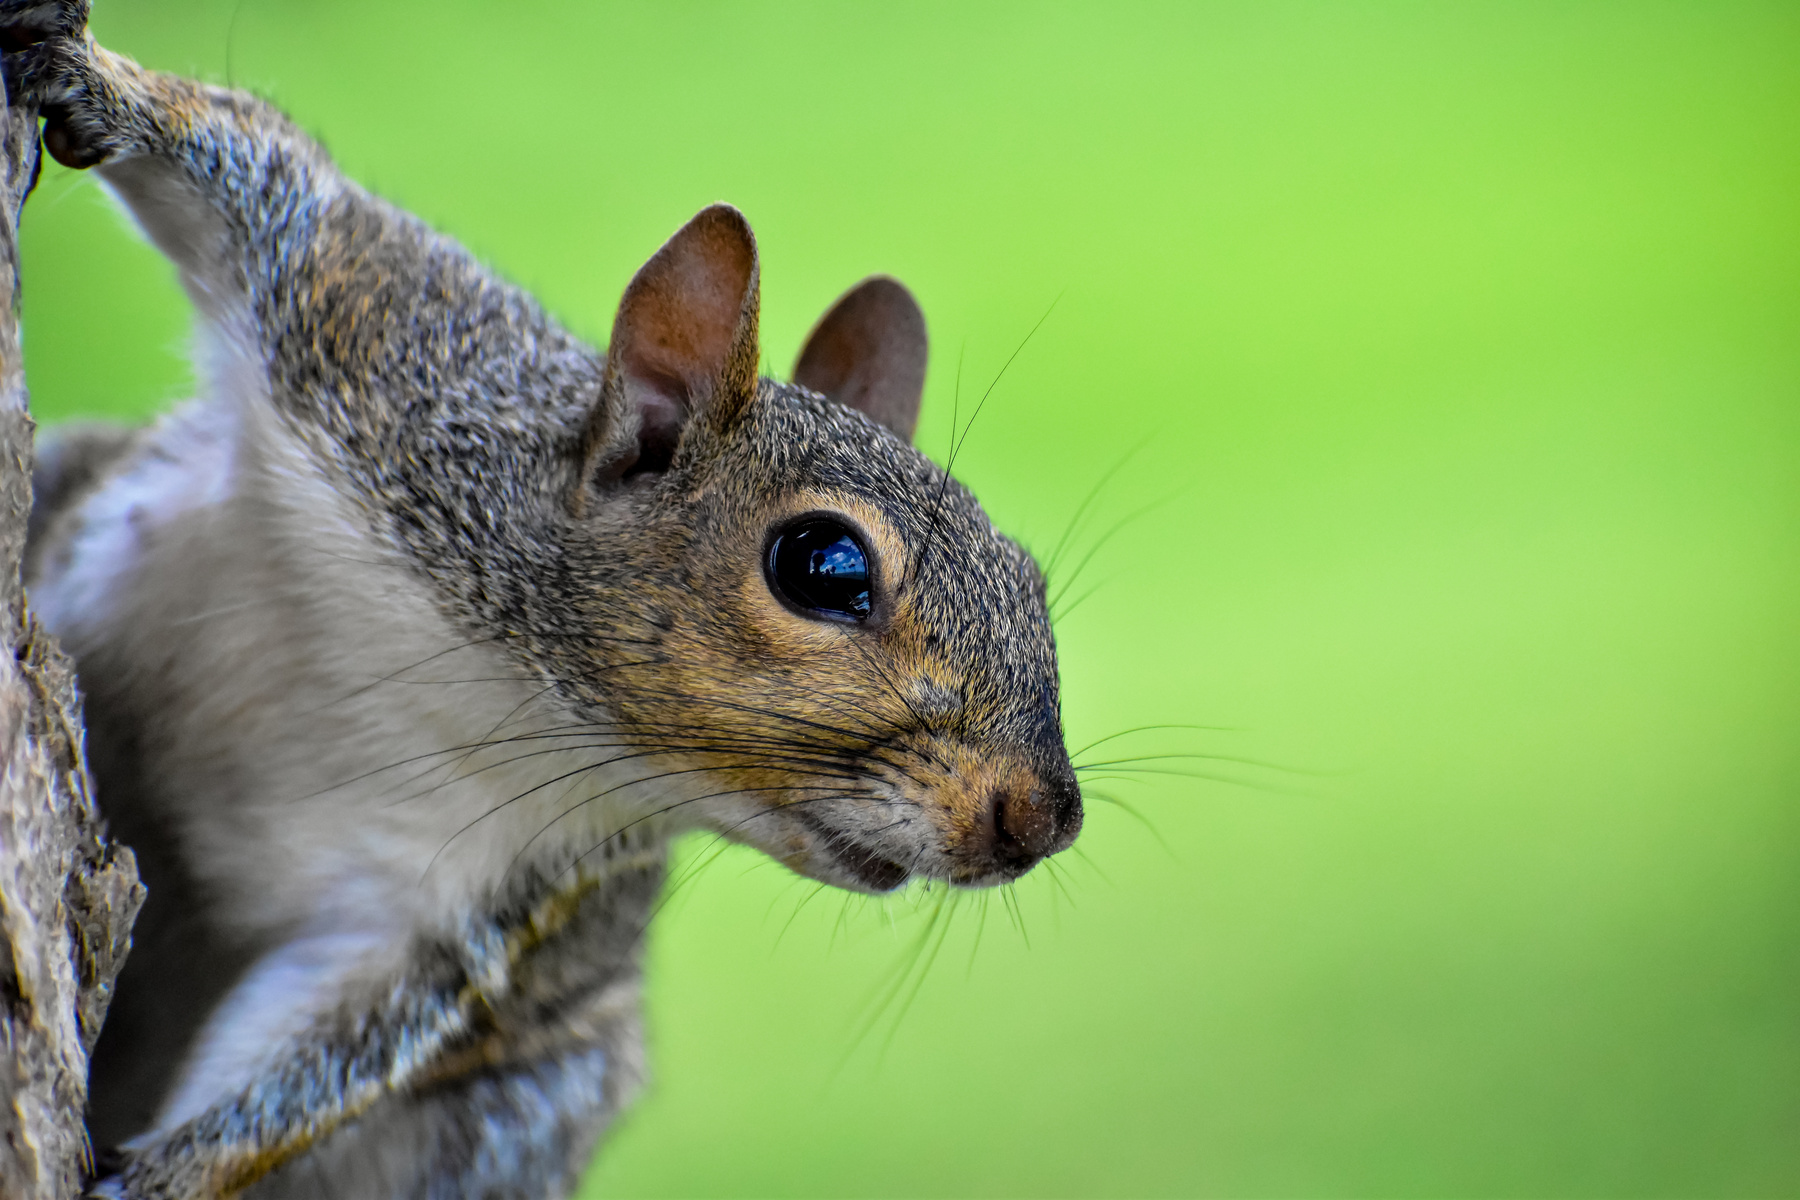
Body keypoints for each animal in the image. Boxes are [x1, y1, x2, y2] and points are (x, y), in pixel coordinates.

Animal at [0, 4, 1080, 1194]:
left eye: (1030, 582)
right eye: (825, 566)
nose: (1044, 820)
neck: (508, 683)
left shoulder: (463, 906)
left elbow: (332, 1046)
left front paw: (160, 1174)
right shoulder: (376, 333)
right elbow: (257, 169)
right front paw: (89, 78)